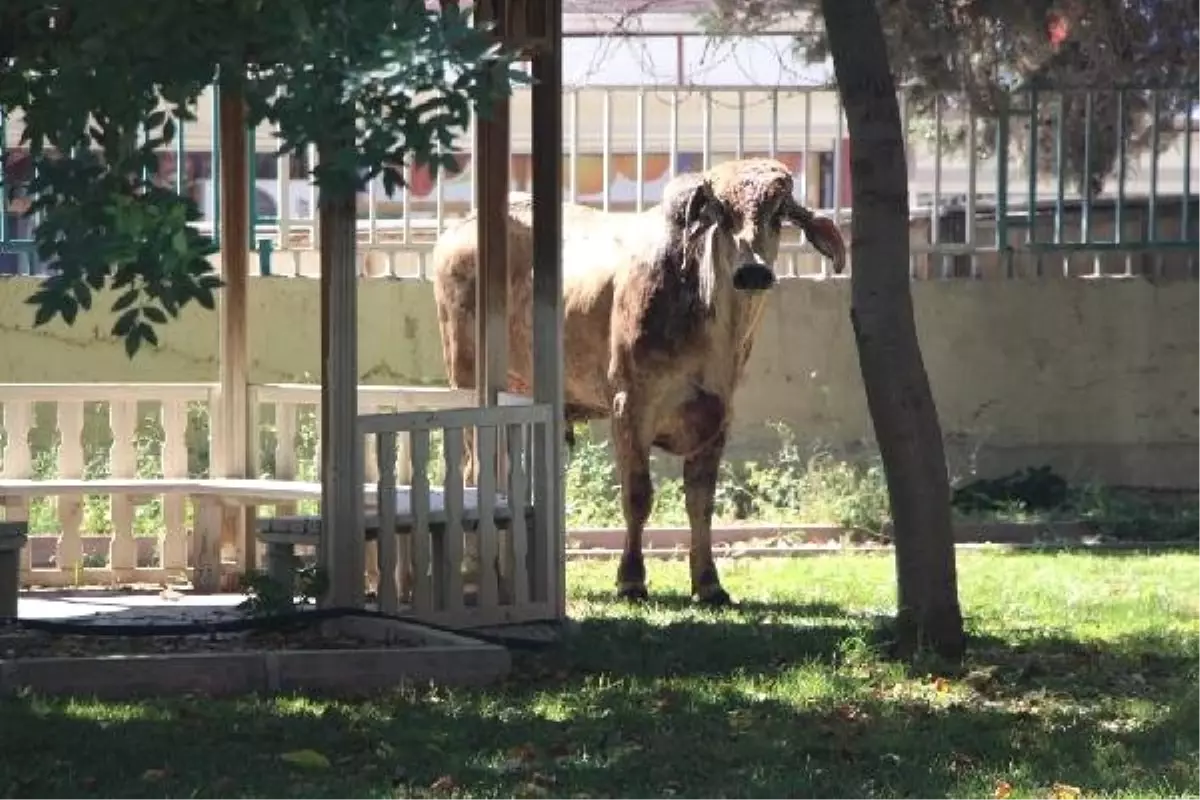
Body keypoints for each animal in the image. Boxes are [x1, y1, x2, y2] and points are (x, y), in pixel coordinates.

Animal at [432, 158, 844, 606]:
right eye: (721, 213)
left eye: (778, 214)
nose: (753, 272)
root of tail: (461, 228)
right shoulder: (630, 407)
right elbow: (638, 496)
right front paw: (631, 579)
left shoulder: (718, 418)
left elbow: (700, 503)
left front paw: (709, 583)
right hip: (468, 380)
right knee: (474, 472)